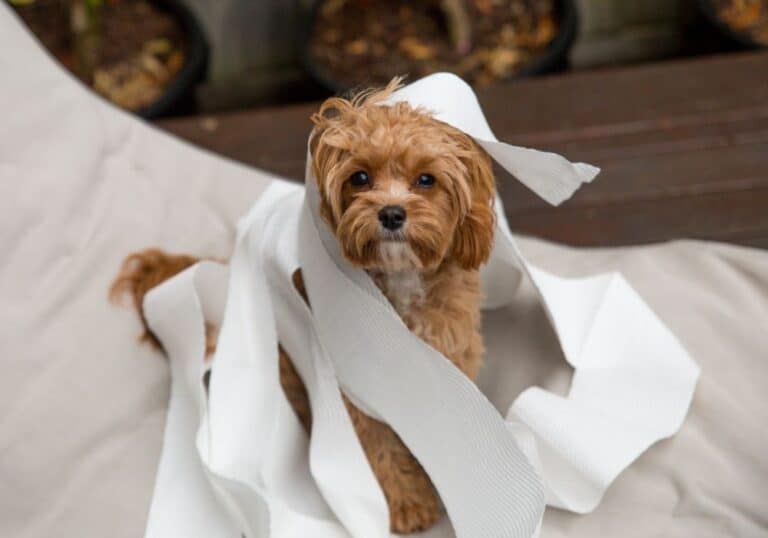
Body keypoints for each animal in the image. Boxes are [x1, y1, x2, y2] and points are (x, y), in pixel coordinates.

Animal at [112, 78, 498, 532]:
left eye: (426, 179)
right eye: (360, 177)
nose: (391, 213)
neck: (399, 285)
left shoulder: (452, 359)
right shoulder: (355, 395)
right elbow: (378, 448)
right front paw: (407, 503)